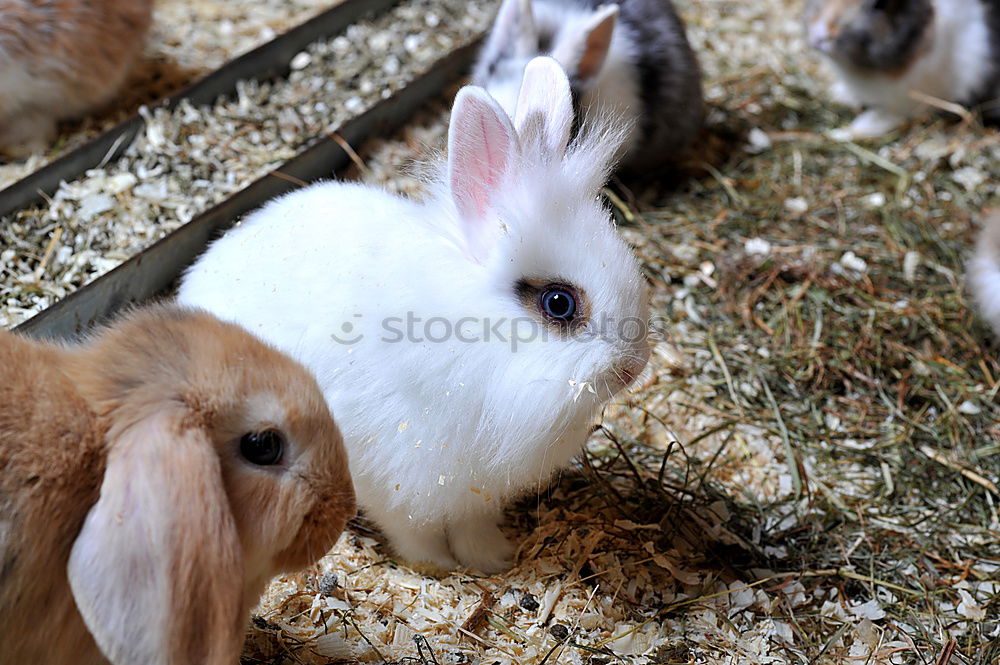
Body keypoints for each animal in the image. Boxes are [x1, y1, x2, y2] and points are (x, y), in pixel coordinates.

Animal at [178, 57, 648, 572]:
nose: (633, 367)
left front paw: (492, 561)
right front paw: (435, 568)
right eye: (558, 303)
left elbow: (472, 527)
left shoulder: (477, 491)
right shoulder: (393, 479)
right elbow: (412, 533)